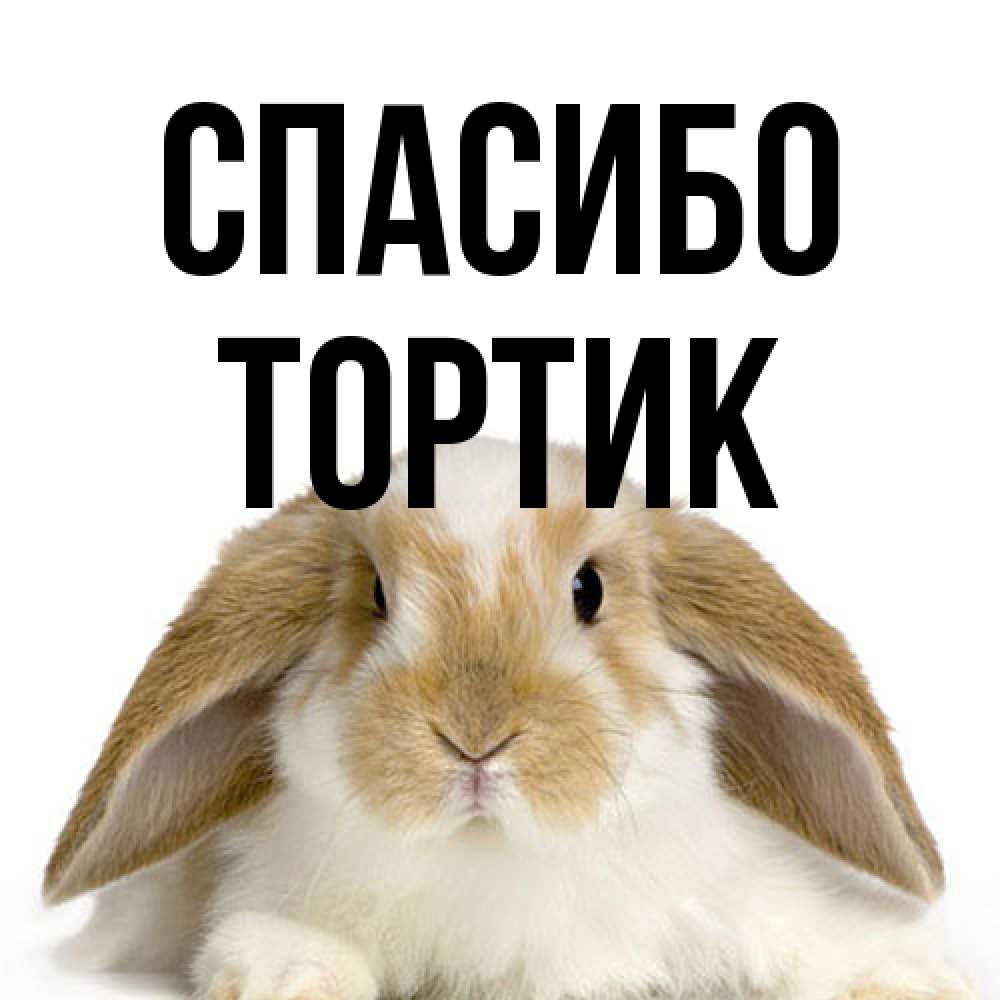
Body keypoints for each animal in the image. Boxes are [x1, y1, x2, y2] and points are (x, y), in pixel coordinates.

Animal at [45, 438, 975, 1000]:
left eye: (589, 589)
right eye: (376, 596)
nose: (475, 737)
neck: (494, 857)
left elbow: (819, 939)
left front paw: (910, 978)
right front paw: (290, 977)